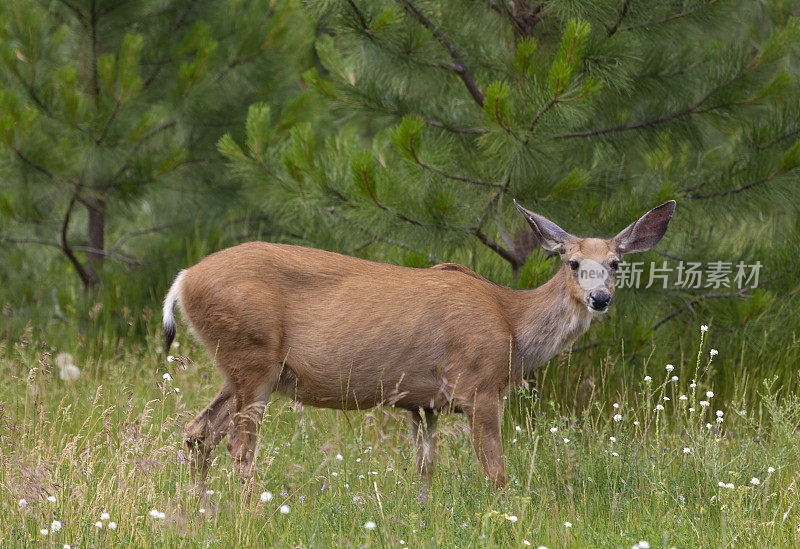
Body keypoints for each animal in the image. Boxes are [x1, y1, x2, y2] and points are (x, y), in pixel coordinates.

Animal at [162, 199, 676, 486]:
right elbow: (495, 470)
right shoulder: (477, 384)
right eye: (572, 262)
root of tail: (183, 280)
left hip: (237, 366)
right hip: (253, 356)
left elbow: (424, 472)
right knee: (240, 448)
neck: (511, 322)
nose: (600, 298)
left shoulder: (422, 402)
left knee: (198, 433)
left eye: (615, 262)